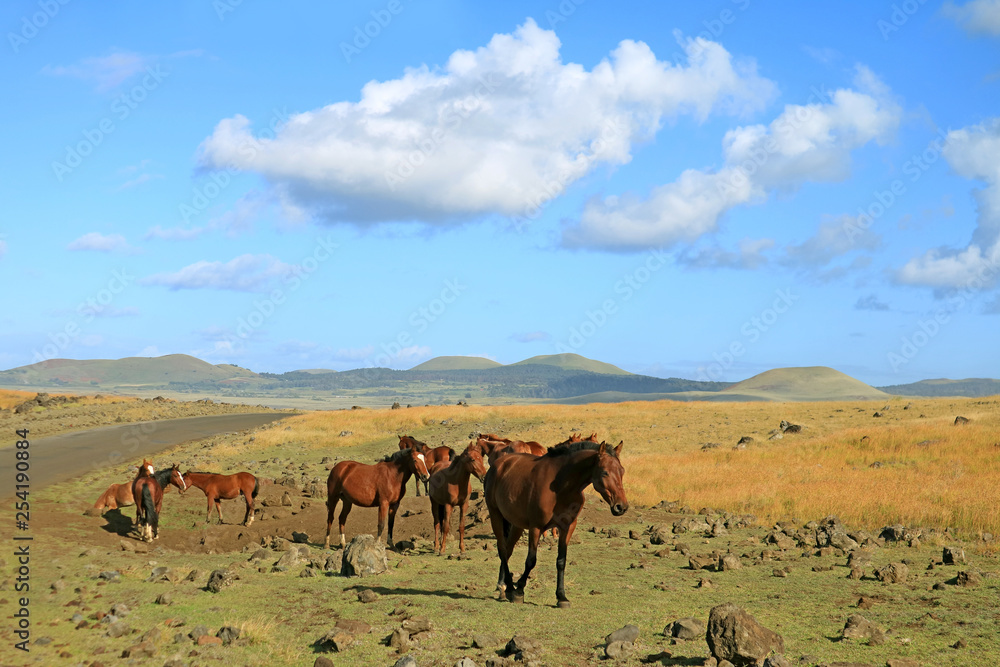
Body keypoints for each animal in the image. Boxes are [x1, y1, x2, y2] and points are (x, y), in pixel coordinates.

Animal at [482, 440, 624, 608]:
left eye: (622, 471)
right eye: (605, 472)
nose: (621, 506)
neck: (561, 486)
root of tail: (498, 464)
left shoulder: (567, 527)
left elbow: (561, 561)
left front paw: (561, 597)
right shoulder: (536, 527)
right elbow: (531, 561)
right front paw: (520, 590)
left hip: (516, 524)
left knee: (508, 549)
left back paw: (503, 586)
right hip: (495, 515)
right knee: (503, 549)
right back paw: (510, 588)